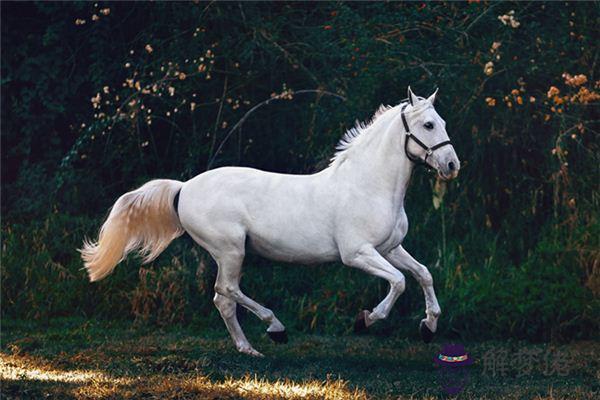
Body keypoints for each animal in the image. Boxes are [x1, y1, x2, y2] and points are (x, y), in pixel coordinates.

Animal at [81, 87, 460, 356]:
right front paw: (366, 320)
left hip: (230, 253)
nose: (452, 165)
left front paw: (428, 327)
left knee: (223, 299)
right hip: (230, 250)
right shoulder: (357, 254)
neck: (368, 185)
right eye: (428, 125)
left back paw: (249, 349)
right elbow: (399, 282)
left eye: (443, 123)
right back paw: (275, 329)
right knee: (227, 291)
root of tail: (184, 188)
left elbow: (423, 274)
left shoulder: (390, 248)